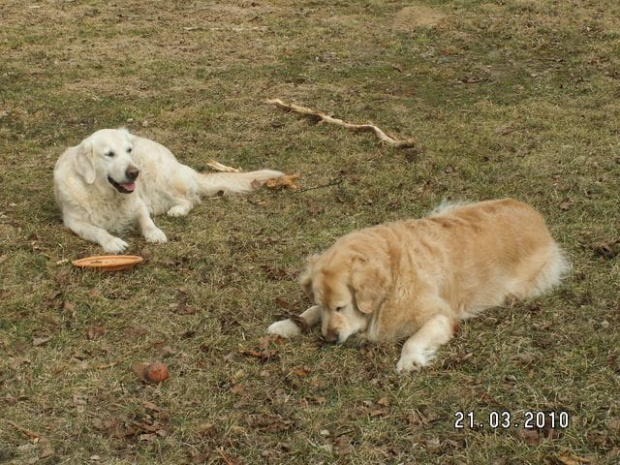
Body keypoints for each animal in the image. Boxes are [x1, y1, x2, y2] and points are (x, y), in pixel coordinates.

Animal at [55, 127, 284, 252]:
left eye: (129, 150)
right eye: (109, 154)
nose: (134, 172)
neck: (105, 194)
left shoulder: (138, 203)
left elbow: (146, 221)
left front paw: (155, 233)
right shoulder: (73, 221)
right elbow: (98, 230)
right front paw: (113, 242)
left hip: (158, 176)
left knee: (189, 200)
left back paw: (177, 210)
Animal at [266, 198, 568, 372]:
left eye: (341, 306)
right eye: (324, 304)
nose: (329, 340)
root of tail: (536, 214)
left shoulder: (442, 316)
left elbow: (414, 339)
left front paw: (409, 360)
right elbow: (308, 313)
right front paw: (288, 324)